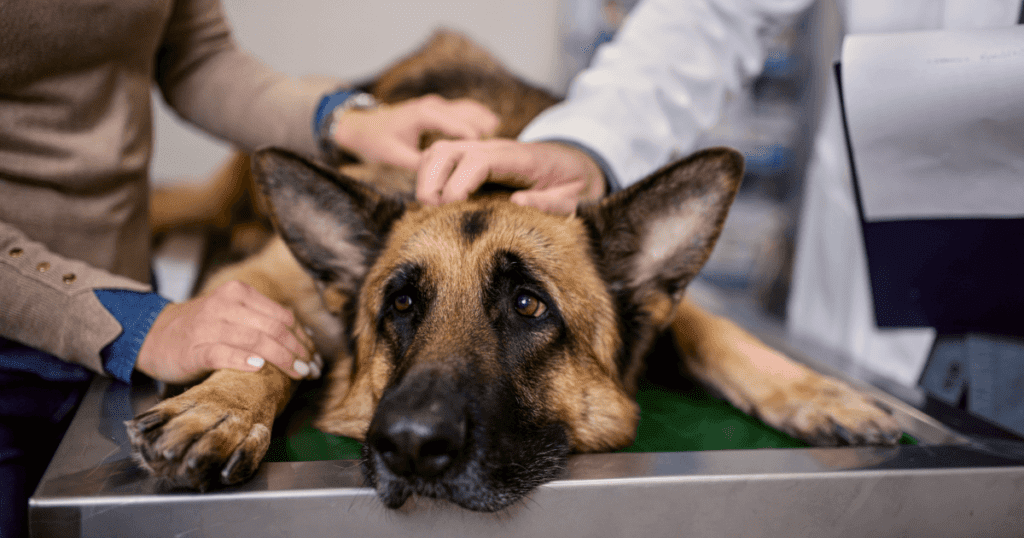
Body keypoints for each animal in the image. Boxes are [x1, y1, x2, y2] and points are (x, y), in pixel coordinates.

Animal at [125, 30, 897, 512]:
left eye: (529, 305)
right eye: (400, 306)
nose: (411, 446)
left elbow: (716, 330)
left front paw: (817, 391)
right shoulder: (266, 282)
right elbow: (258, 337)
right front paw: (222, 406)